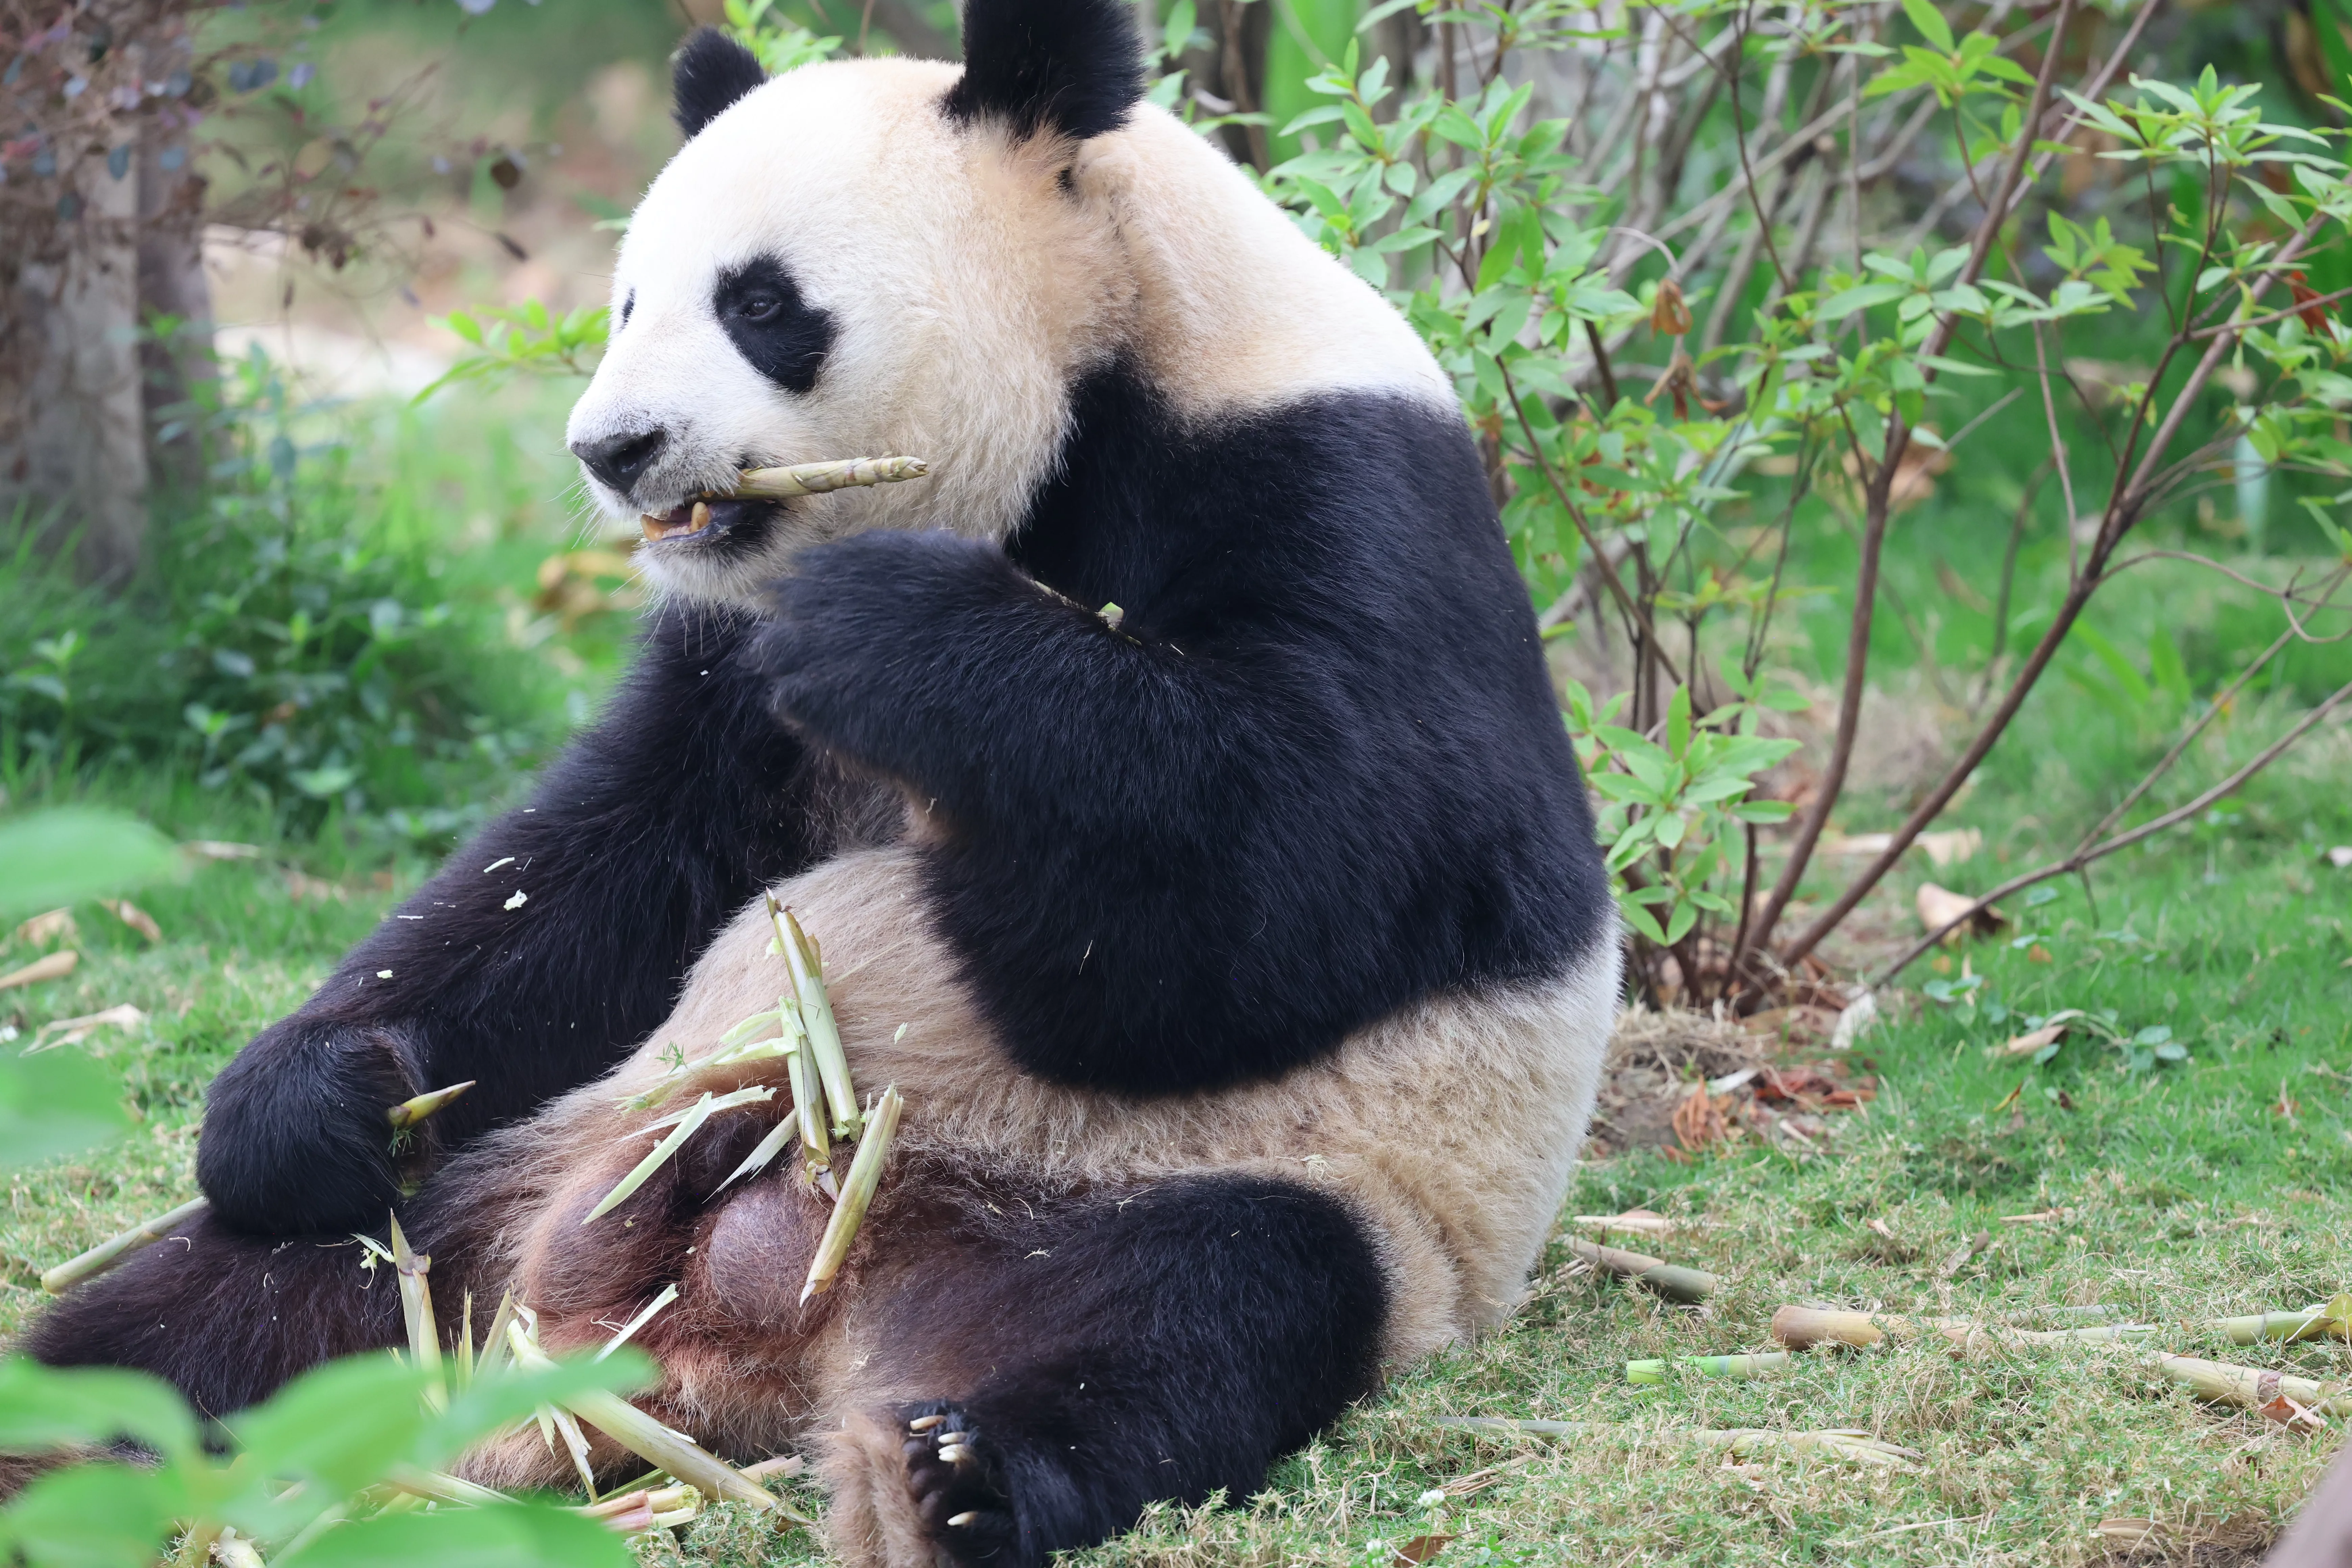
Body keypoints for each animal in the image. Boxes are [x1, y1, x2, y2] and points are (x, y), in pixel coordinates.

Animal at [23, 2, 1619, 1563]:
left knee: (1198, 1308)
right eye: (626, 303)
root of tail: (753, 1328)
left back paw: (959, 1473)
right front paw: (318, 1100)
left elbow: (1309, 874)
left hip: (1258, 1189)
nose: (614, 447)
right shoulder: (722, 676)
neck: (1102, 365)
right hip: (507, 1180)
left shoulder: (1331, 485)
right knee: (220, 1307)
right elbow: (600, 868)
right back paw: (74, 1434)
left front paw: (896, 631)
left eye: (760, 303)